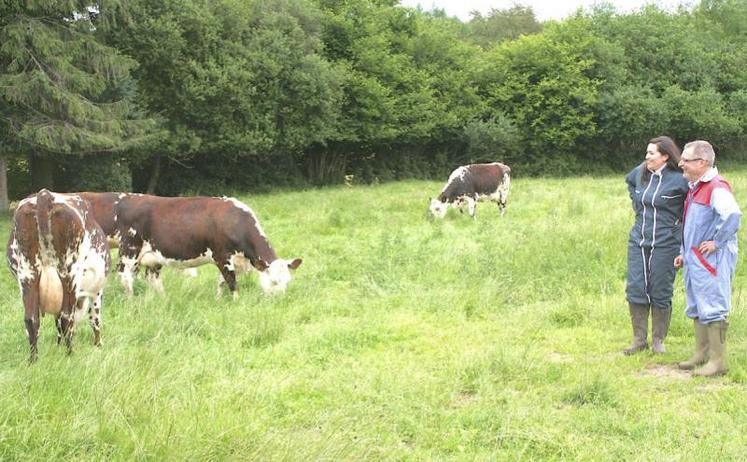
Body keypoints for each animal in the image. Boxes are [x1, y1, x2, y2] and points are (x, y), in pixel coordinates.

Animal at [6, 189, 111, 360]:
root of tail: (45, 194)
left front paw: (58, 345)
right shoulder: (97, 291)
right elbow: (95, 319)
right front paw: (98, 344)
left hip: (27, 273)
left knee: (31, 319)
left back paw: (34, 360)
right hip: (69, 273)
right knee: (66, 317)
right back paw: (71, 355)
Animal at [115, 194, 302, 296]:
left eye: (287, 281)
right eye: (274, 281)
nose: (280, 299)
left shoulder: (231, 261)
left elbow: (221, 282)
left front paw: (218, 300)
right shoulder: (222, 256)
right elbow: (232, 284)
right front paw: (236, 302)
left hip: (152, 258)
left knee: (152, 278)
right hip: (129, 252)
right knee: (125, 277)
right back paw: (130, 301)